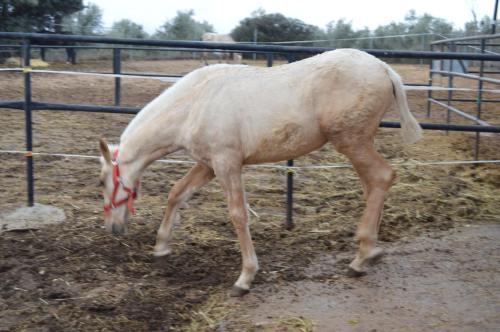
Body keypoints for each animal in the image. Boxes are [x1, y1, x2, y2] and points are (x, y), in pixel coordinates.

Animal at [98, 48, 422, 296]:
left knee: (381, 178)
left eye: (101, 181)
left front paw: (245, 278)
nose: (113, 228)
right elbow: (177, 192)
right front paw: (162, 247)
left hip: (352, 142)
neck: (194, 104)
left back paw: (361, 258)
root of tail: (384, 68)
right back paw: (372, 250)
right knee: (373, 186)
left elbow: (238, 215)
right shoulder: (209, 165)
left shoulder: (227, 163)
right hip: (358, 144)